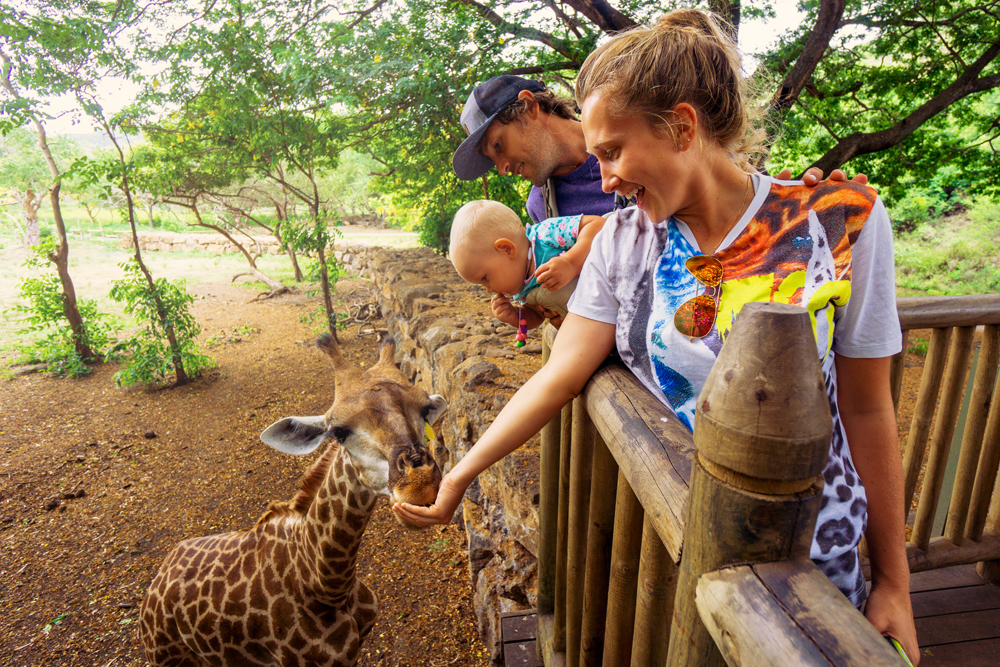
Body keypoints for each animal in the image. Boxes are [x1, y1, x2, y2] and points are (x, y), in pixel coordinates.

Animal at [141, 334, 450, 667]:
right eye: (338, 432)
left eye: (425, 410)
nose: (419, 487)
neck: (326, 585)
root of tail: (155, 583)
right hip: (168, 657)